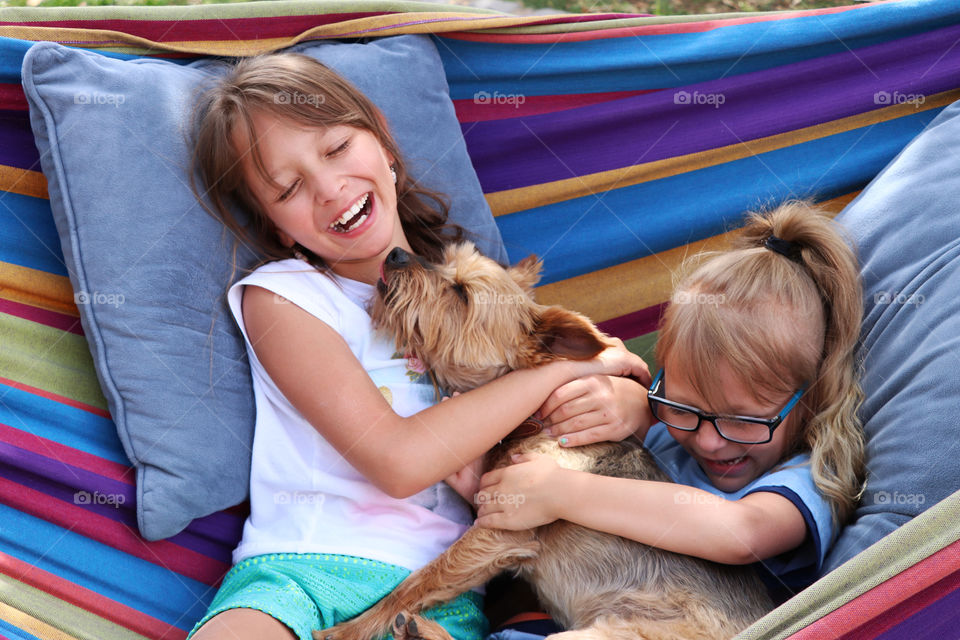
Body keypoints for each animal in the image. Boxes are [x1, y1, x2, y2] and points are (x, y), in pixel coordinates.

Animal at [320, 244, 772, 640]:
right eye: (444, 259)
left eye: (461, 293)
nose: (396, 252)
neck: (532, 420)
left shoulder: (500, 530)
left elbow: (418, 581)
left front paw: (346, 630)